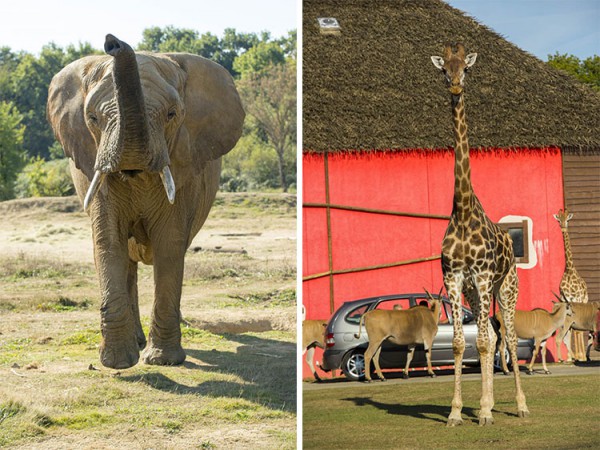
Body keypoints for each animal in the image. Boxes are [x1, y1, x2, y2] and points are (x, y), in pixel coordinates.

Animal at [46, 34, 244, 370]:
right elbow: (108, 241)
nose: (112, 42)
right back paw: (137, 343)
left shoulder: (184, 168)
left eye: (172, 114)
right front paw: (117, 363)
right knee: (127, 259)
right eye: (92, 118)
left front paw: (163, 360)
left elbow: (169, 243)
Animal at [432, 43, 528, 426]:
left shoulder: (485, 276)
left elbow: (486, 342)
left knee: (509, 338)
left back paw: (519, 406)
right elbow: (462, 343)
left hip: (506, 286)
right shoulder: (455, 277)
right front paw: (456, 412)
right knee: (491, 334)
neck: (461, 211)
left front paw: (485, 410)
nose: (456, 87)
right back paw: (487, 403)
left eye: (467, 69)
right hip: (476, 293)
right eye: (444, 70)